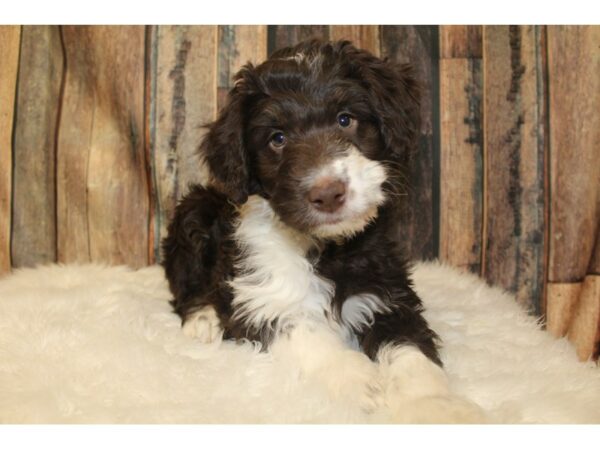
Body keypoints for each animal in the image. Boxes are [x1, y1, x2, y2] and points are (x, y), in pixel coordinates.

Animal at [161, 39, 482, 422]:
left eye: (345, 119)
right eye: (277, 139)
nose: (328, 194)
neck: (326, 248)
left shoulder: (389, 293)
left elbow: (412, 350)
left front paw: (434, 407)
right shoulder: (258, 300)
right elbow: (307, 335)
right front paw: (360, 381)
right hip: (193, 213)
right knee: (185, 284)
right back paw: (203, 320)